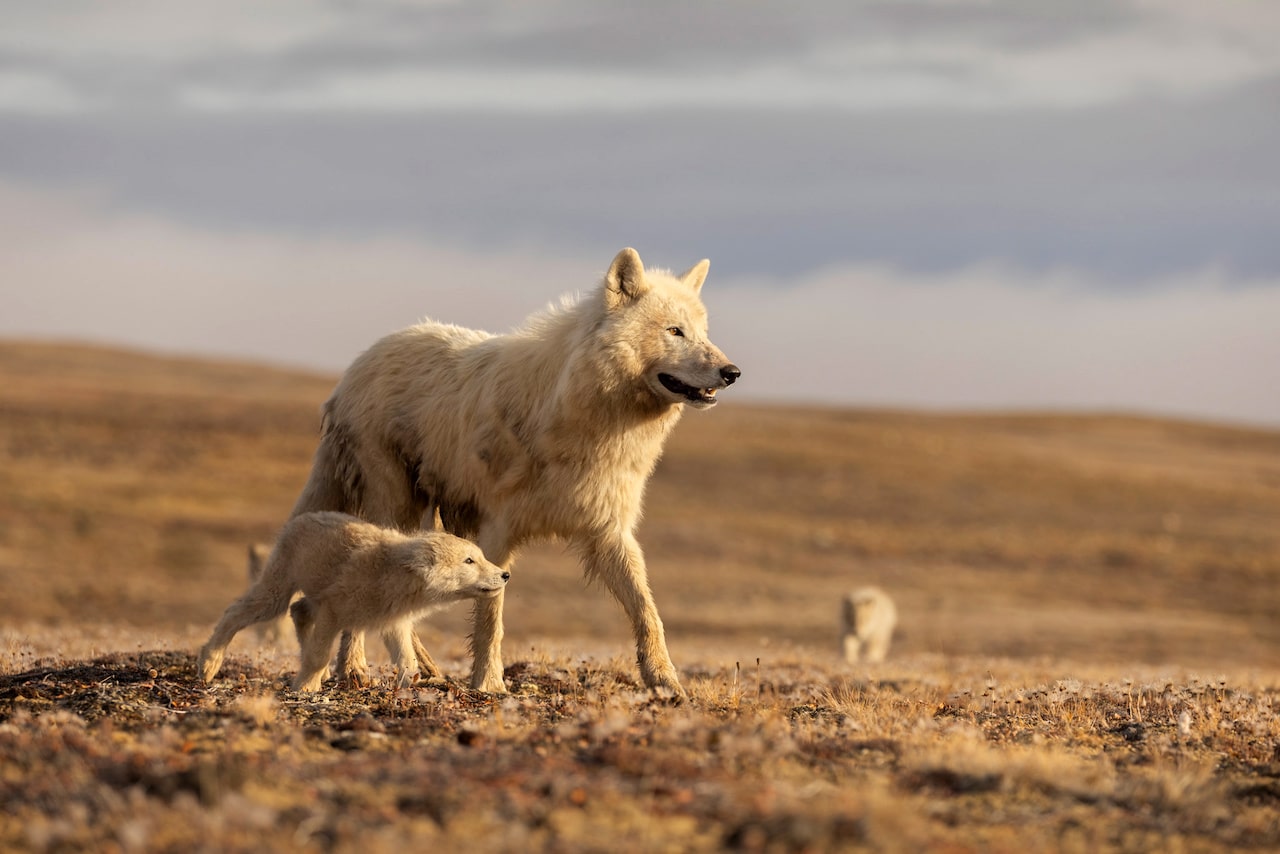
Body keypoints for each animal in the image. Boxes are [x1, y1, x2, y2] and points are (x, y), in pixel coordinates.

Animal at [198, 512, 509, 691]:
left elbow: (408, 663)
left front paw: (407, 689)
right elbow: (319, 654)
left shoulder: (393, 623)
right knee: (236, 610)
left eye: (480, 556)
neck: (388, 574)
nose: (505, 575)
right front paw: (304, 688)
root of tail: (301, 517)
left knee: (298, 611)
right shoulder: (334, 611)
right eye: (469, 560)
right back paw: (208, 664)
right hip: (277, 592)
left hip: (310, 598)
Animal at [288, 247, 739, 696]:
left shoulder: (609, 531)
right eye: (674, 331)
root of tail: (353, 369)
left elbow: (646, 610)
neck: (581, 420)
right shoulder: (497, 531)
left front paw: (665, 681)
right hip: (395, 504)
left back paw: (425, 668)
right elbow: (491, 618)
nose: (732, 373)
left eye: (703, 332)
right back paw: (354, 669)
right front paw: (489, 684)